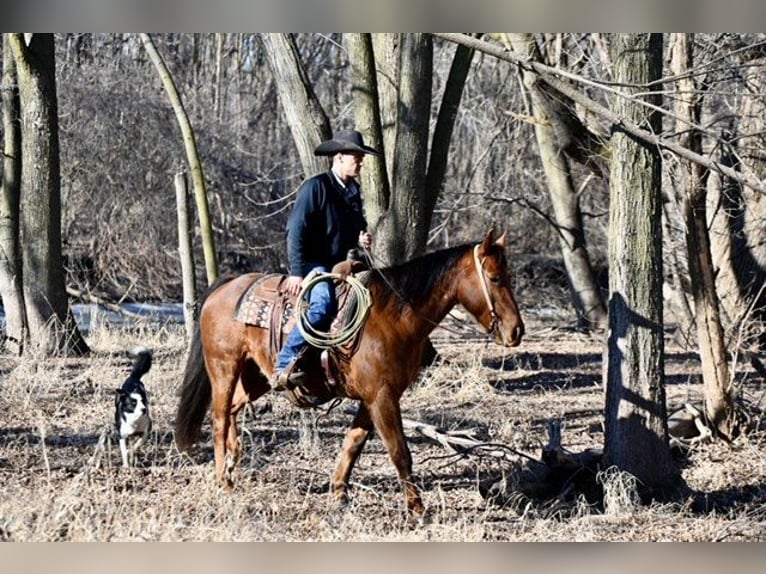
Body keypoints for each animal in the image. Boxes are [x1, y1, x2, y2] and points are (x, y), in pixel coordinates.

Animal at [176, 228, 524, 516]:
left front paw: (339, 494)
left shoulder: (374, 398)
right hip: (224, 368)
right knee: (219, 419)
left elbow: (353, 444)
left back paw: (233, 460)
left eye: (509, 274)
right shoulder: (381, 397)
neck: (392, 316)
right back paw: (223, 480)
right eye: (494, 278)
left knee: (234, 409)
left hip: (255, 378)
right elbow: (399, 452)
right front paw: (416, 509)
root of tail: (226, 287)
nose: (516, 331)